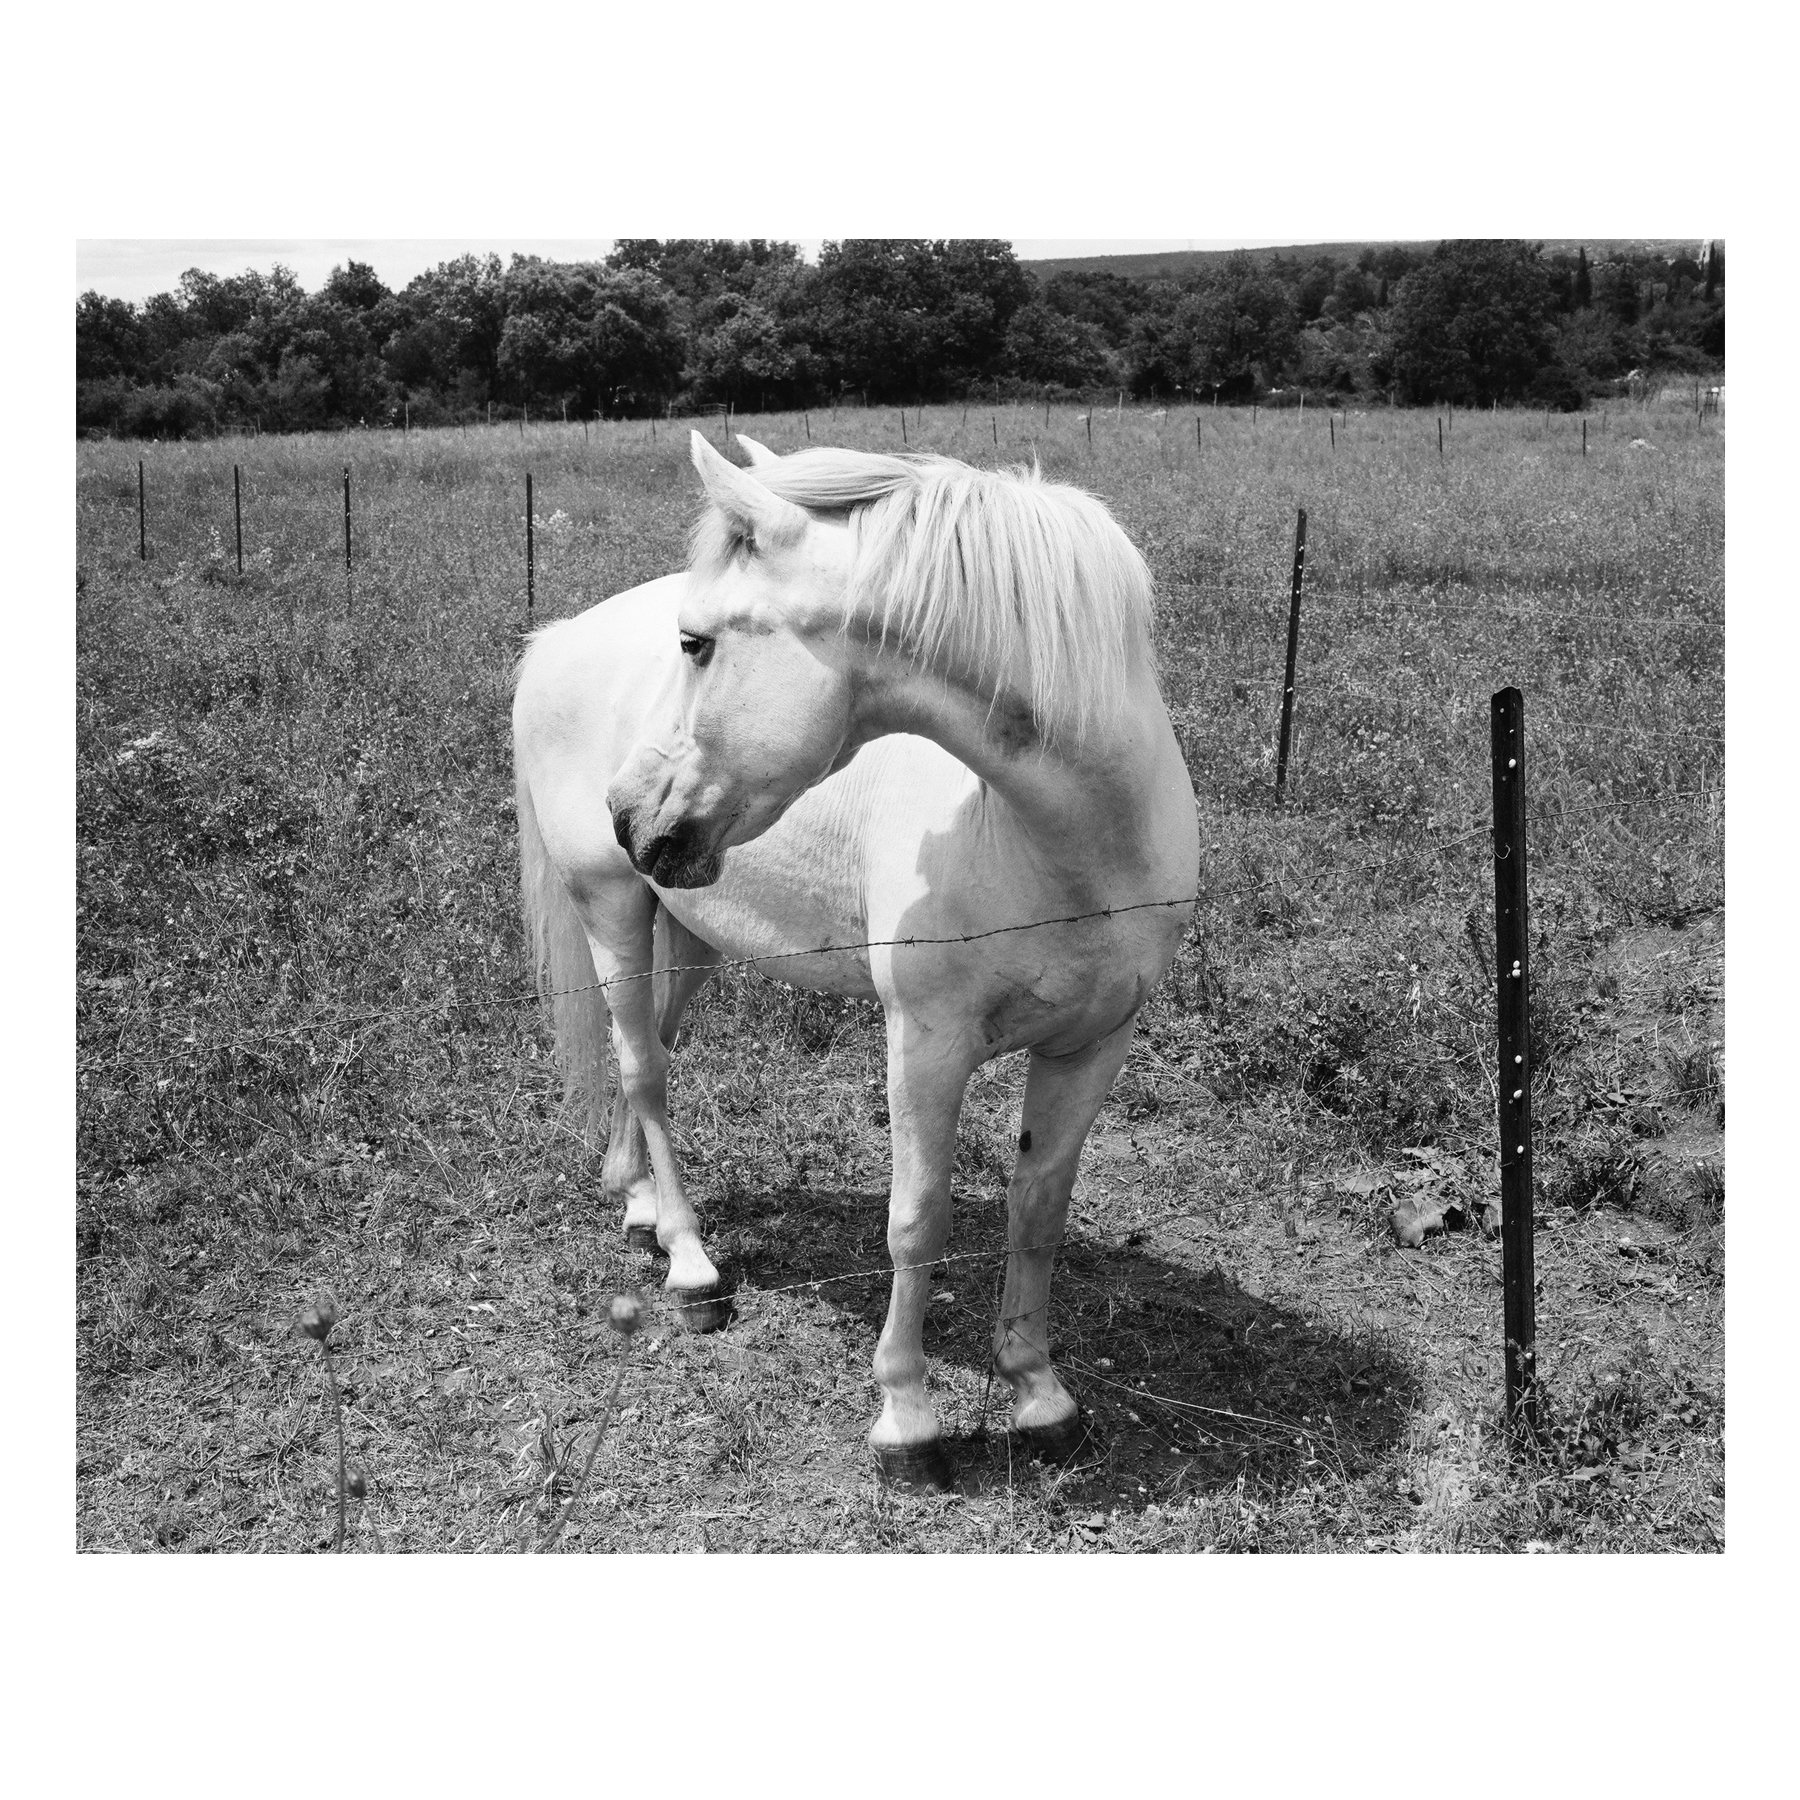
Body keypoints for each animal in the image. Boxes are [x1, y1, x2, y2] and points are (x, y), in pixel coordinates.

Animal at [514, 428, 1202, 1483]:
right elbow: (916, 1221)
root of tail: (556, 639)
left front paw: (1038, 1394)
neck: (1072, 838)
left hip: (691, 927)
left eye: (696, 641)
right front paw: (906, 1418)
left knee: (653, 1052)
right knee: (642, 1067)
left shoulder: (1094, 1043)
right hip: (613, 908)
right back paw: (690, 1263)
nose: (627, 811)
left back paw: (634, 1201)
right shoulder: (926, 1043)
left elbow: (1038, 1211)